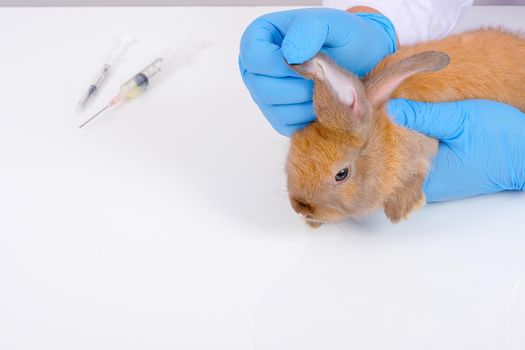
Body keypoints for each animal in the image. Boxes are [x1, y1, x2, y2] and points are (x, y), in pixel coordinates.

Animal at [284, 28, 524, 228]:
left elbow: (418, 171)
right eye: (295, 145)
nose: (299, 208)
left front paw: (401, 210)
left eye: (342, 174)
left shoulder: (423, 146)